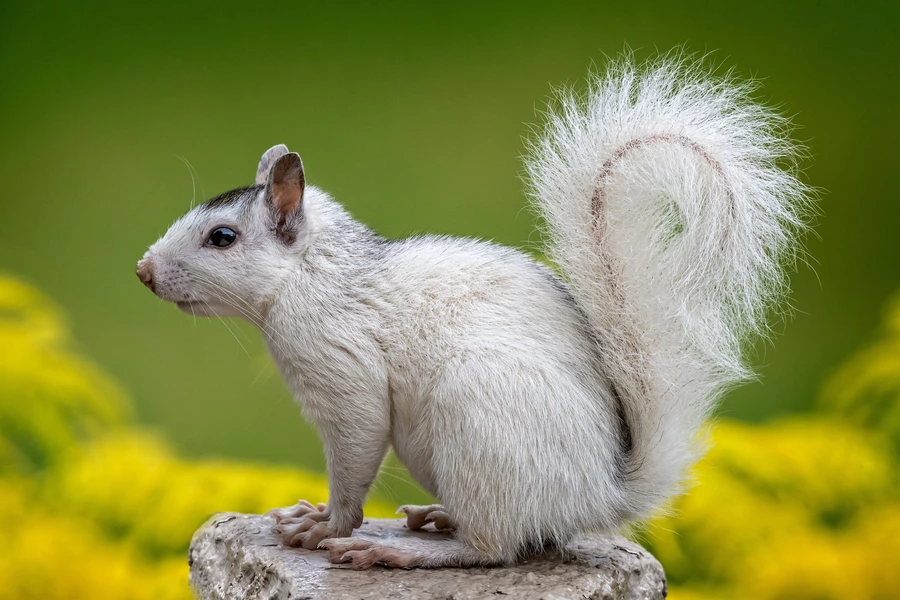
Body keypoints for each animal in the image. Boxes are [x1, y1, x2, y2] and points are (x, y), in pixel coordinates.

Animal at [136, 54, 811, 569]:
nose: (143, 272)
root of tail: (600, 494)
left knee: (496, 547)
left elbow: (355, 453)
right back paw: (439, 518)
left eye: (222, 237)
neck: (313, 273)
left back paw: (404, 553)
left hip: (477, 417)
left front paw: (325, 526)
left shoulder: (341, 366)